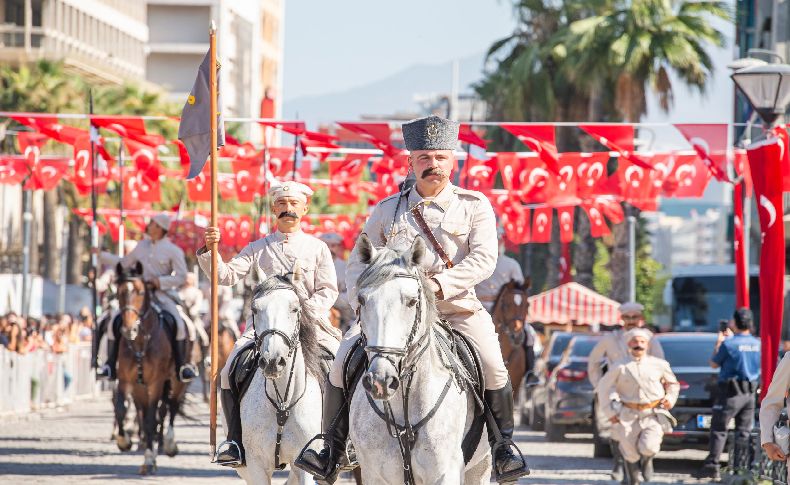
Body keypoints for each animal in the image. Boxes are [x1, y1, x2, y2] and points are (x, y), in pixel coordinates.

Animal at [113, 262, 188, 474]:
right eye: (119, 292)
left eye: (139, 292)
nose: (129, 329)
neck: (140, 342)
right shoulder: (129, 382)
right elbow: (122, 409)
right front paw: (124, 441)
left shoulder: (155, 383)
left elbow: (150, 419)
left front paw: (149, 457)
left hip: (177, 381)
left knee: (171, 408)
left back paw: (169, 445)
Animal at [232, 276, 324, 484]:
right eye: (255, 309)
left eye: (294, 308)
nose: (272, 361)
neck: (283, 403)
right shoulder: (255, 465)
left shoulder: (305, 465)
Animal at [350, 236, 492, 484]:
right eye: (362, 300)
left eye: (412, 301)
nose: (381, 380)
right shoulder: (374, 475)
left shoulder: (445, 473)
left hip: (480, 467)